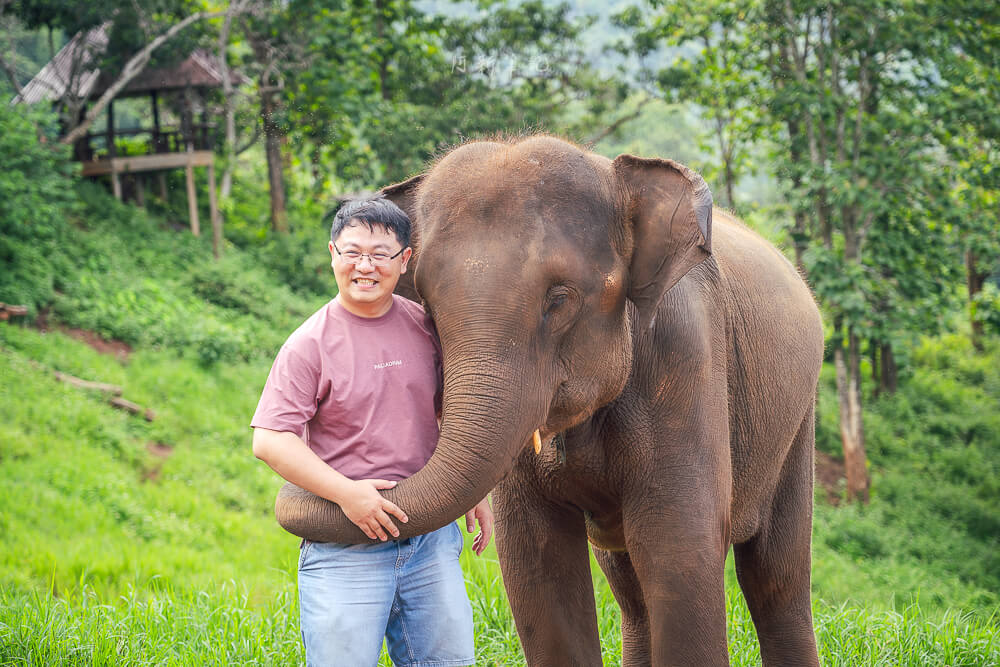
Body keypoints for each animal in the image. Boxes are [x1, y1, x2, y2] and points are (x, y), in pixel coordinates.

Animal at [274, 135, 824, 666]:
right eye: (425, 302)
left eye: (559, 298)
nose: (374, 490)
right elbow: (537, 561)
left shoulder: (686, 355)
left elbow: (679, 545)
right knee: (630, 586)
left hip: (800, 419)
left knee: (776, 576)